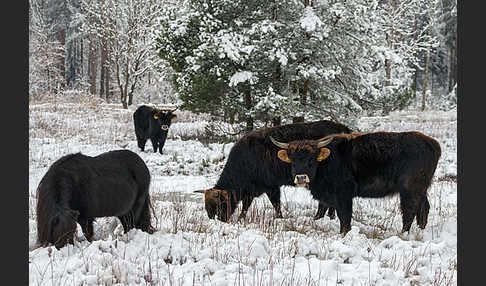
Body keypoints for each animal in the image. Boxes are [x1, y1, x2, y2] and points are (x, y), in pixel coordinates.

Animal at [193, 119, 350, 222]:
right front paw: (241, 218)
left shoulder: (271, 186)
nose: (218, 219)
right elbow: (247, 205)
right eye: (207, 207)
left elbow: (275, 204)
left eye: (220, 204)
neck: (246, 160)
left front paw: (278, 217)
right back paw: (330, 216)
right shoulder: (252, 190)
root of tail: (345, 129)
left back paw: (318, 217)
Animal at [272, 132, 442, 235]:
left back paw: (403, 233)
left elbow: (345, 216)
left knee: (410, 210)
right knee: (424, 208)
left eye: (311, 160)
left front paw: (344, 233)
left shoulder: (344, 196)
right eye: (293, 160)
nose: (301, 178)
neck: (327, 161)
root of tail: (433, 143)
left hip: (409, 189)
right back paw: (420, 229)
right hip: (421, 189)